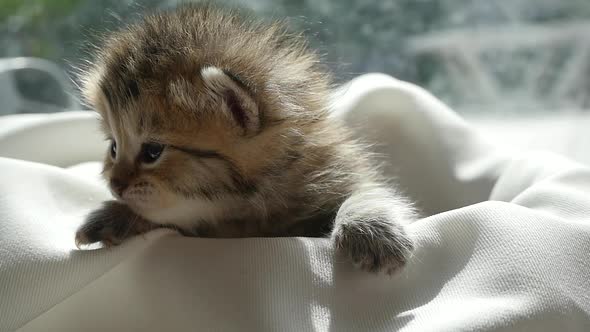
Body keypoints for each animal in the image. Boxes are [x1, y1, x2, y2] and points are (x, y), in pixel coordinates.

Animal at [75, 3, 416, 274]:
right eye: (114, 147)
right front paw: (116, 216)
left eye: (152, 151)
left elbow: (368, 190)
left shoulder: (337, 170)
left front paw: (370, 228)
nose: (116, 185)